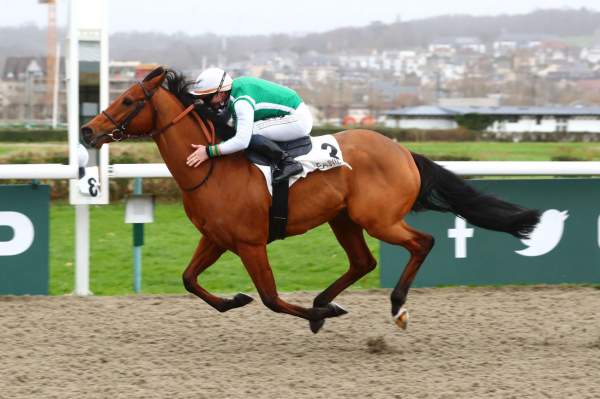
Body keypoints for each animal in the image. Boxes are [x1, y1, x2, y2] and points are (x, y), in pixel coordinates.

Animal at [78, 68, 540, 334]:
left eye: (128, 100)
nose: (86, 131)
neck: (211, 171)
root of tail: (403, 151)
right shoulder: (216, 238)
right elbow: (189, 280)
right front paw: (236, 301)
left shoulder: (250, 242)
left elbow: (271, 298)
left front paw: (319, 317)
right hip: (343, 218)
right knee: (363, 262)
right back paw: (324, 299)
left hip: (378, 218)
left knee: (421, 243)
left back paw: (395, 307)